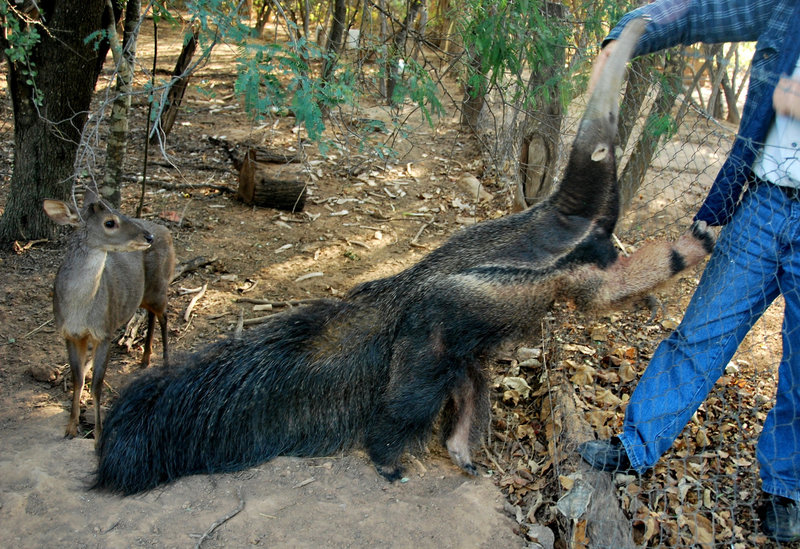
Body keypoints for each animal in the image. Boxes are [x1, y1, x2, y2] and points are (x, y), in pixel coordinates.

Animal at [44, 191, 175, 444]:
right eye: (109, 222)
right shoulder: (69, 334)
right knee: (151, 315)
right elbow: (78, 378)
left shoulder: (104, 331)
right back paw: (145, 359)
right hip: (142, 295)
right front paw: (71, 427)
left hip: (159, 286)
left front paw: (98, 434)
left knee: (164, 315)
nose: (149, 237)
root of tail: (167, 231)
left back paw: (165, 363)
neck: (80, 310)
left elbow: (96, 384)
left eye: (119, 211)